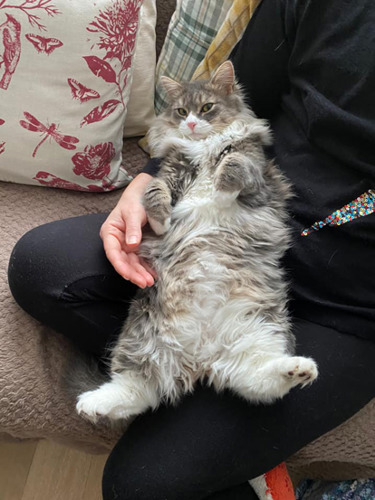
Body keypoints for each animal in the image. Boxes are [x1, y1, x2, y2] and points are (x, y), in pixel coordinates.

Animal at [75, 61, 318, 422]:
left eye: (206, 108)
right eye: (180, 111)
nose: (190, 123)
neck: (204, 147)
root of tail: (202, 355)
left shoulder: (261, 181)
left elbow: (235, 165)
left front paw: (220, 189)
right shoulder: (169, 172)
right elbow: (154, 191)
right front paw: (161, 220)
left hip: (260, 328)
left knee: (258, 381)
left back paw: (299, 369)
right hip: (139, 337)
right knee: (138, 389)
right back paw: (92, 404)